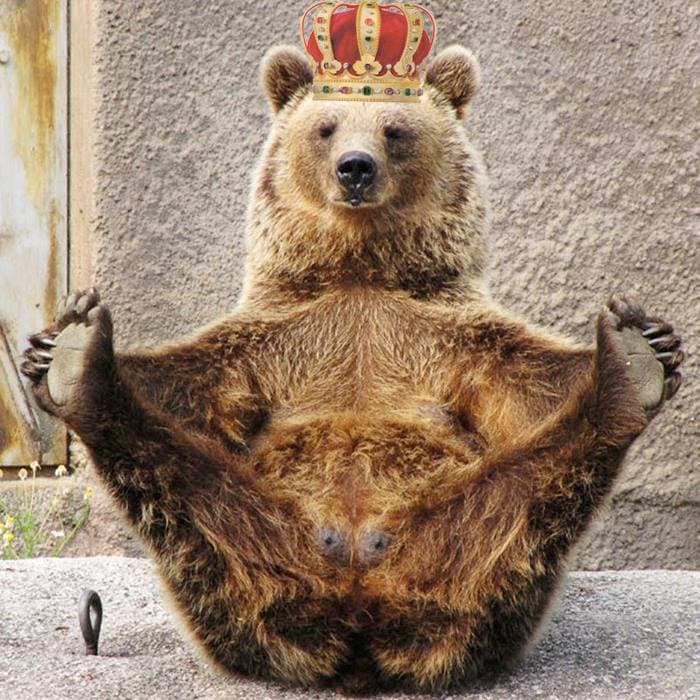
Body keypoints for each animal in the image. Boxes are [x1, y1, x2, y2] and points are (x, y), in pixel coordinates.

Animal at [21, 43, 684, 693]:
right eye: (326, 126)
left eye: (395, 129)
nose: (356, 166)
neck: (360, 269)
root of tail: (359, 615)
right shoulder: (275, 339)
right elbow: (187, 384)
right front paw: (49, 347)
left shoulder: (447, 336)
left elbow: (530, 384)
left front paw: (653, 338)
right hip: (246, 556)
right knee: (188, 493)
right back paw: (82, 366)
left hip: (462, 547)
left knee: (525, 498)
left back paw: (628, 370)